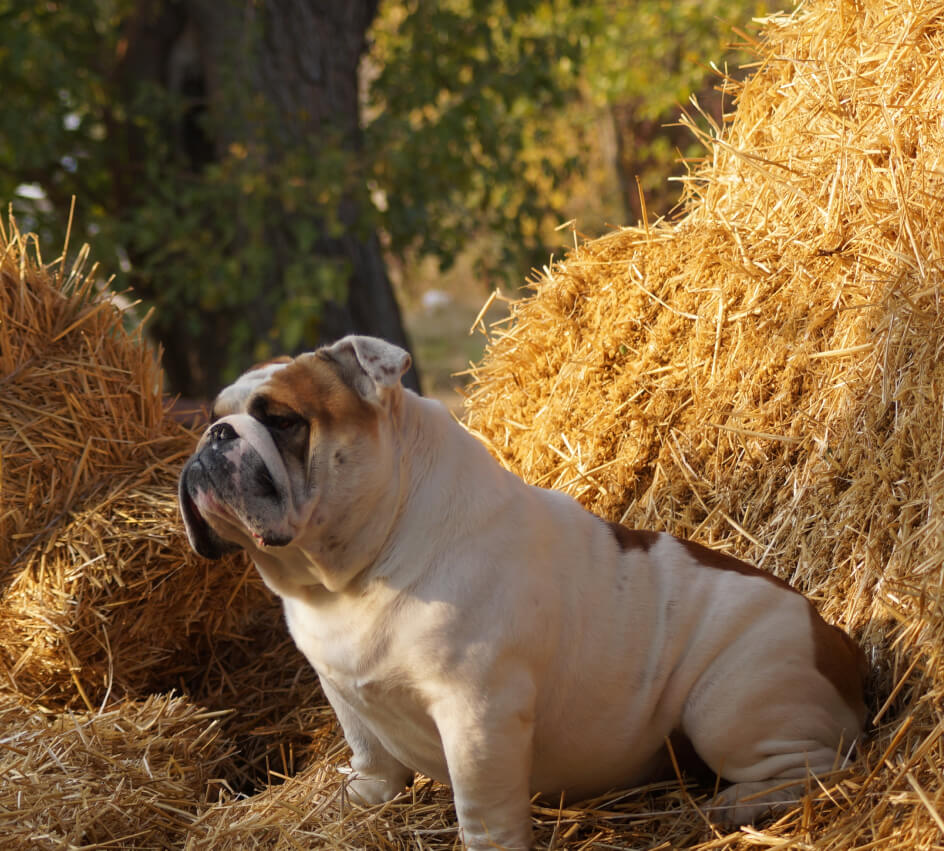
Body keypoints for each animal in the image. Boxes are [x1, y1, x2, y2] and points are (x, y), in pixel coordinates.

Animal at [181, 336, 868, 848]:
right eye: (215, 415)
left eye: (282, 421)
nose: (214, 436)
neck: (349, 572)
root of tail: (837, 639)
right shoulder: (343, 690)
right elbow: (372, 756)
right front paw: (360, 797)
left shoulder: (477, 714)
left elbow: (483, 811)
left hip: (725, 704)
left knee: (819, 766)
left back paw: (737, 805)